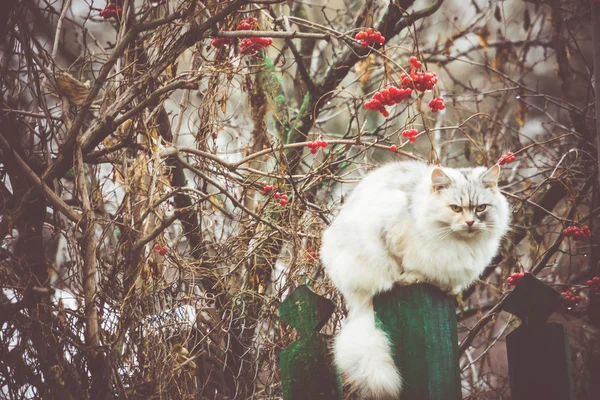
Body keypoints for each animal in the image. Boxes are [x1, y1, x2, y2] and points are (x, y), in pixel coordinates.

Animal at [322, 161, 508, 398]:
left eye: (481, 208)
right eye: (456, 208)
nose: (469, 223)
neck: (459, 243)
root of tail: (355, 302)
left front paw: (445, 287)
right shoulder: (391, 234)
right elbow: (404, 266)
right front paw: (412, 278)